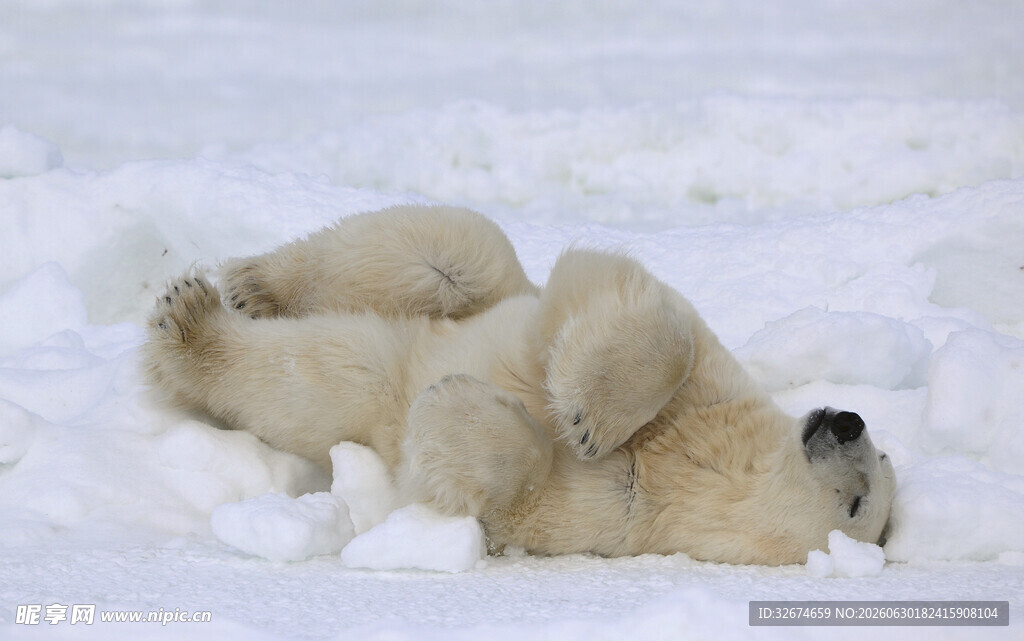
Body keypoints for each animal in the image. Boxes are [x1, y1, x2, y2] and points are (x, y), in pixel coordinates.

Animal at [141, 205, 896, 565]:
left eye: (860, 502)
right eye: (883, 459)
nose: (850, 421)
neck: (695, 463)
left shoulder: (619, 514)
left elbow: (511, 495)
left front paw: (455, 405)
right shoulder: (711, 388)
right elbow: (638, 304)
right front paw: (588, 412)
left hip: (373, 371)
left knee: (327, 375)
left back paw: (189, 329)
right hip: (472, 285)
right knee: (448, 251)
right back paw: (252, 286)